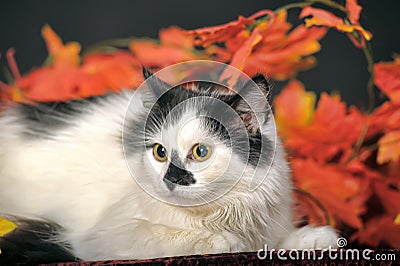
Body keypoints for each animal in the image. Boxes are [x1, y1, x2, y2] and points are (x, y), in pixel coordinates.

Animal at [0, 67, 338, 262]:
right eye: (160, 153)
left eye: (200, 152)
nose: (169, 180)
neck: (224, 212)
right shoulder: (101, 237)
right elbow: (183, 237)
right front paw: (229, 241)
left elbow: (280, 241)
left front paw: (318, 238)